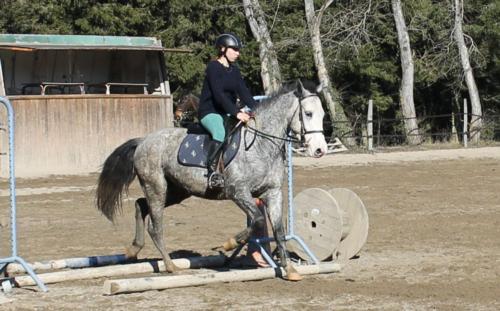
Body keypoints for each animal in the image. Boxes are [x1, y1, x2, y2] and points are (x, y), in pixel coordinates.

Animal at [94, 81, 328, 282]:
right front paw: (230, 243)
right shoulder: (238, 192)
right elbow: (258, 221)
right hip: (156, 187)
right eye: (308, 114)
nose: (320, 150)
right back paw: (170, 266)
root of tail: (144, 140)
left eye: (323, 114)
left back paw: (133, 249)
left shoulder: (273, 193)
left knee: (141, 205)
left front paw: (290, 270)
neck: (261, 144)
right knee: (155, 225)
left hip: (177, 191)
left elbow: (278, 230)